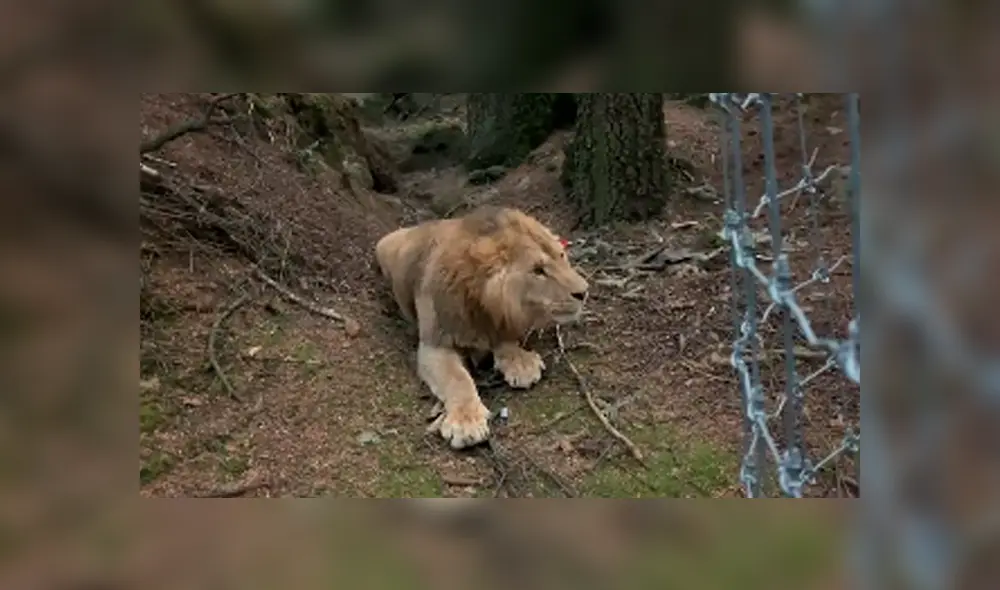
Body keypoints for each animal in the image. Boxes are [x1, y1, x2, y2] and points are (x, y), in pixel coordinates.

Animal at [374, 205, 590, 449]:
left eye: (561, 256)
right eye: (538, 270)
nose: (584, 291)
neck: (482, 305)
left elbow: (505, 339)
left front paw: (521, 362)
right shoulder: (435, 345)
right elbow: (458, 379)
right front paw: (466, 422)